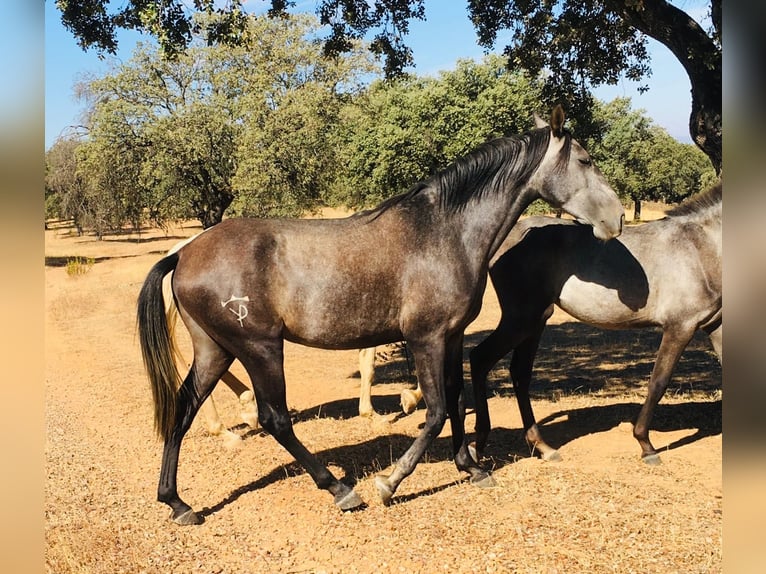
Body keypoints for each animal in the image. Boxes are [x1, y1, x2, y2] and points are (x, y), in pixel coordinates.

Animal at [138, 107, 628, 528]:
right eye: (585, 159)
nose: (618, 218)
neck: (443, 231)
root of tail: (184, 253)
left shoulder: (452, 336)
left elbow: (456, 400)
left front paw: (470, 467)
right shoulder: (425, 337)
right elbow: (434, 411)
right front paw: (390, 482)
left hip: (215, 349)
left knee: (183, 409)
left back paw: (177, 503)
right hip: (259, 347)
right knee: (274, 417)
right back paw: (341, 490)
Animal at [472, 182, 724, 466]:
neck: (699, 247)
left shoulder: (715, 326)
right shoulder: (680, 327)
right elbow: (658, 382)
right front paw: (646, 445)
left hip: (536, 321)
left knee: (519, 373)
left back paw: (543, 447)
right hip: (520, 321)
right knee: (480, 359)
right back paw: (478, 448)